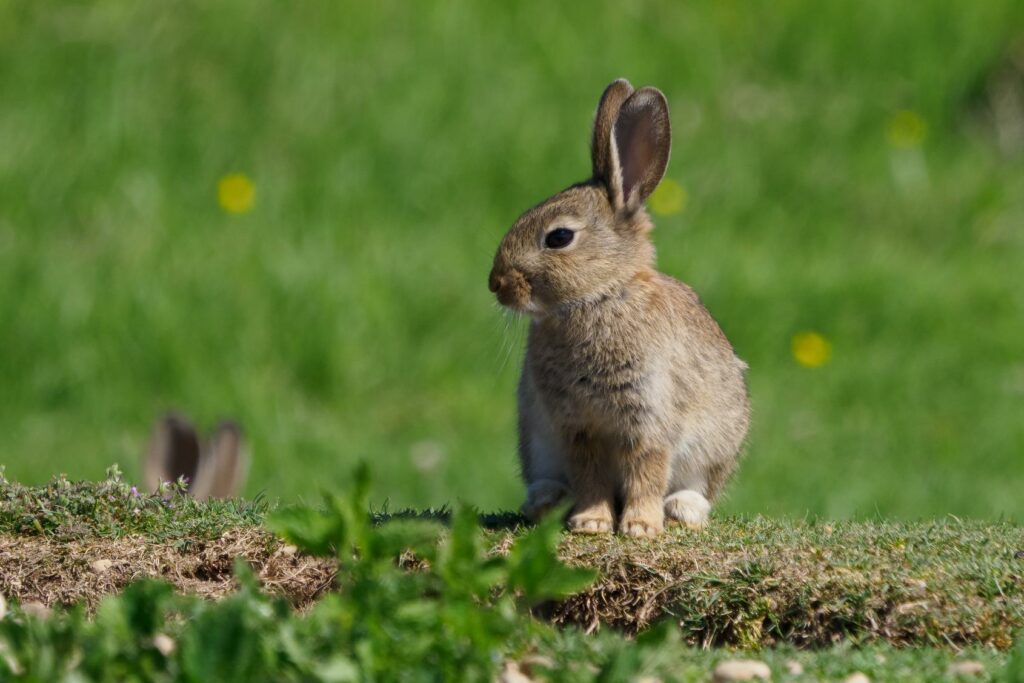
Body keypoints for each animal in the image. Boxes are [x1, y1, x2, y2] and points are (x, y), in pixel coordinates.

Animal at [488, 79, 750, 537]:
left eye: (559, 237)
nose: (496, 284)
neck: (601, 296)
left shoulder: (649, 417)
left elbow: (647, 470)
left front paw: (640, 527)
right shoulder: (577, 426)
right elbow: (589, 474)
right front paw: (591, 522)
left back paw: (682, 508)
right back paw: (547, 500)